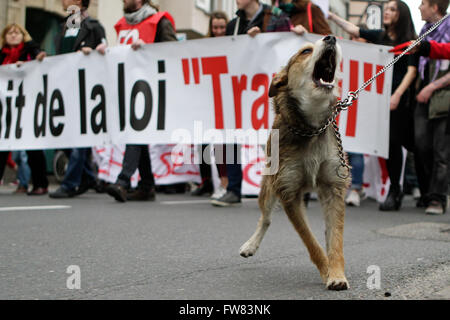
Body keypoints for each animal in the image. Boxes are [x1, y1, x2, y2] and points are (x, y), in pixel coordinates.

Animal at [239, 35, 352, 290]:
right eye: (305, 51)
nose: (331, 37)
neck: (311, 128)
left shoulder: (334, 187)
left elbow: (336, 238)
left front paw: (337, 273)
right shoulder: (288, 191)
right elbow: (310, 241)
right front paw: (326, 270)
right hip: (268, 186)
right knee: (265, 217)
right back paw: (250, 245)